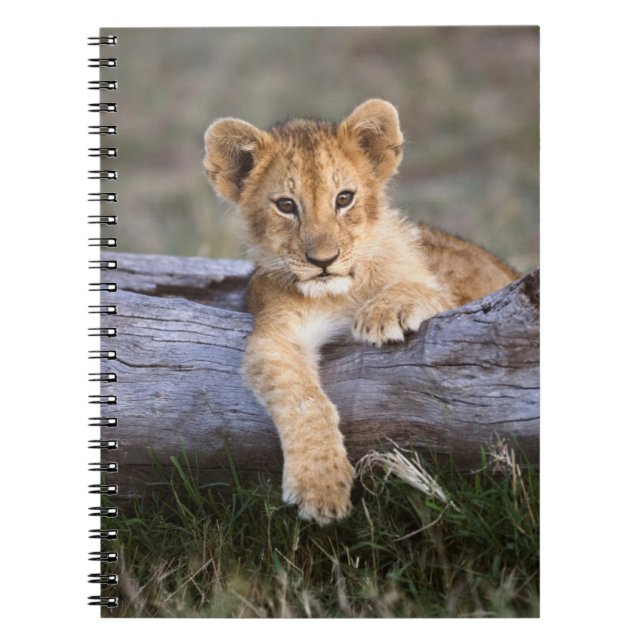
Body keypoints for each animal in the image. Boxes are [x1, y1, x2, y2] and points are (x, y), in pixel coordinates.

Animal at [204, 99, 518, 525]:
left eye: (344, 199)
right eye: (286, 205)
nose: (323, 261)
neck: (340, 293)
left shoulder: (454, 301)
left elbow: (422, 288)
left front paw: (384, 313)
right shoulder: (276, 333)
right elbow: (303, 399)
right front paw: (320, 486)